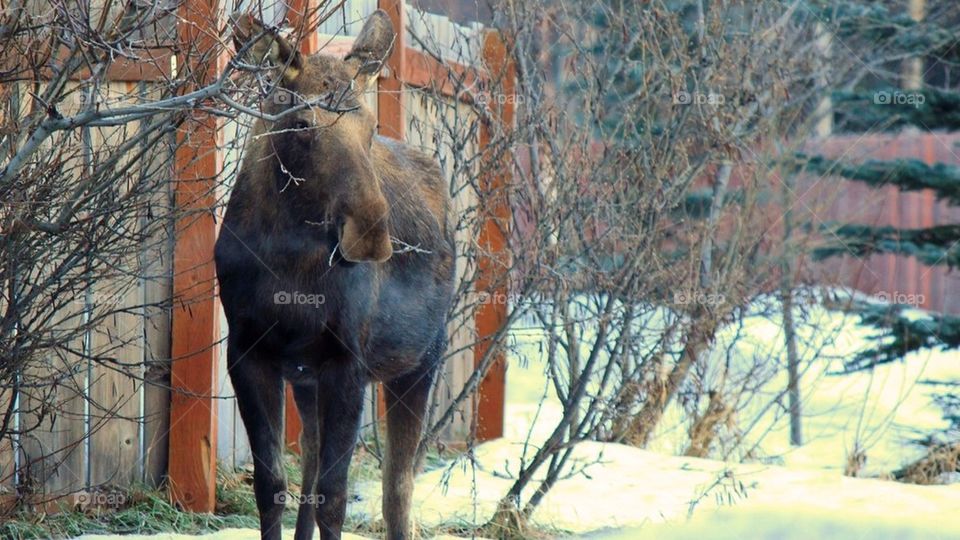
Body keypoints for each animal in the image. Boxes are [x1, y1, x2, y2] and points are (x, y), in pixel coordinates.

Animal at [214, 10, 455, 540]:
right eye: (303, 122)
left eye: (370, 124)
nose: (370, 234)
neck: (290, 265)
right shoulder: (248, 353)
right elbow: (271, 485)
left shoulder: (349, 363)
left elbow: (336, 496)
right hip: (308, 377)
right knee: (310, 457)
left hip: (422, 359)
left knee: (397, 487)